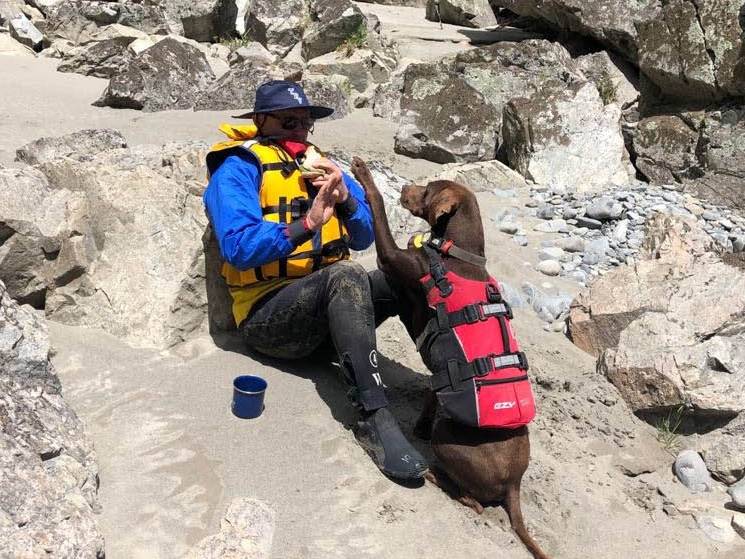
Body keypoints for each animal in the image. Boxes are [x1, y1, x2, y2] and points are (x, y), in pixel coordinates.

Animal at [352, 156, 548, 559]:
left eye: (426, 191)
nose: (405, 186)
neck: (455, 251)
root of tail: (514, 484)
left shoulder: (395, 264)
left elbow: (377, 210)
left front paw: (364, 176)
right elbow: (432, 388)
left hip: (448, 439)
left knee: (474, 502)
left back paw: (434, 475)